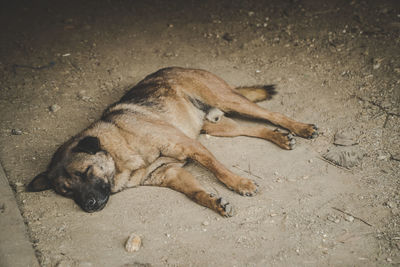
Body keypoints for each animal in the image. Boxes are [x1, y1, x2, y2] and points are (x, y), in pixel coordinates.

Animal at [26, 67, 318, 218]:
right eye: (66, 191)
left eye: (86, 172)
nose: (88, 205)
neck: (123, 149)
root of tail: (182, 67)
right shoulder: (170, 173)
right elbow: (196, 193)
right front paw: (214, 203)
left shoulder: (190, 146)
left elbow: (218, 169)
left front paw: (240, 183)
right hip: (217, 127)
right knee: (253, 129)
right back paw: (279, 137)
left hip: (227, 101)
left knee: (272, 115)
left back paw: (301, 128)